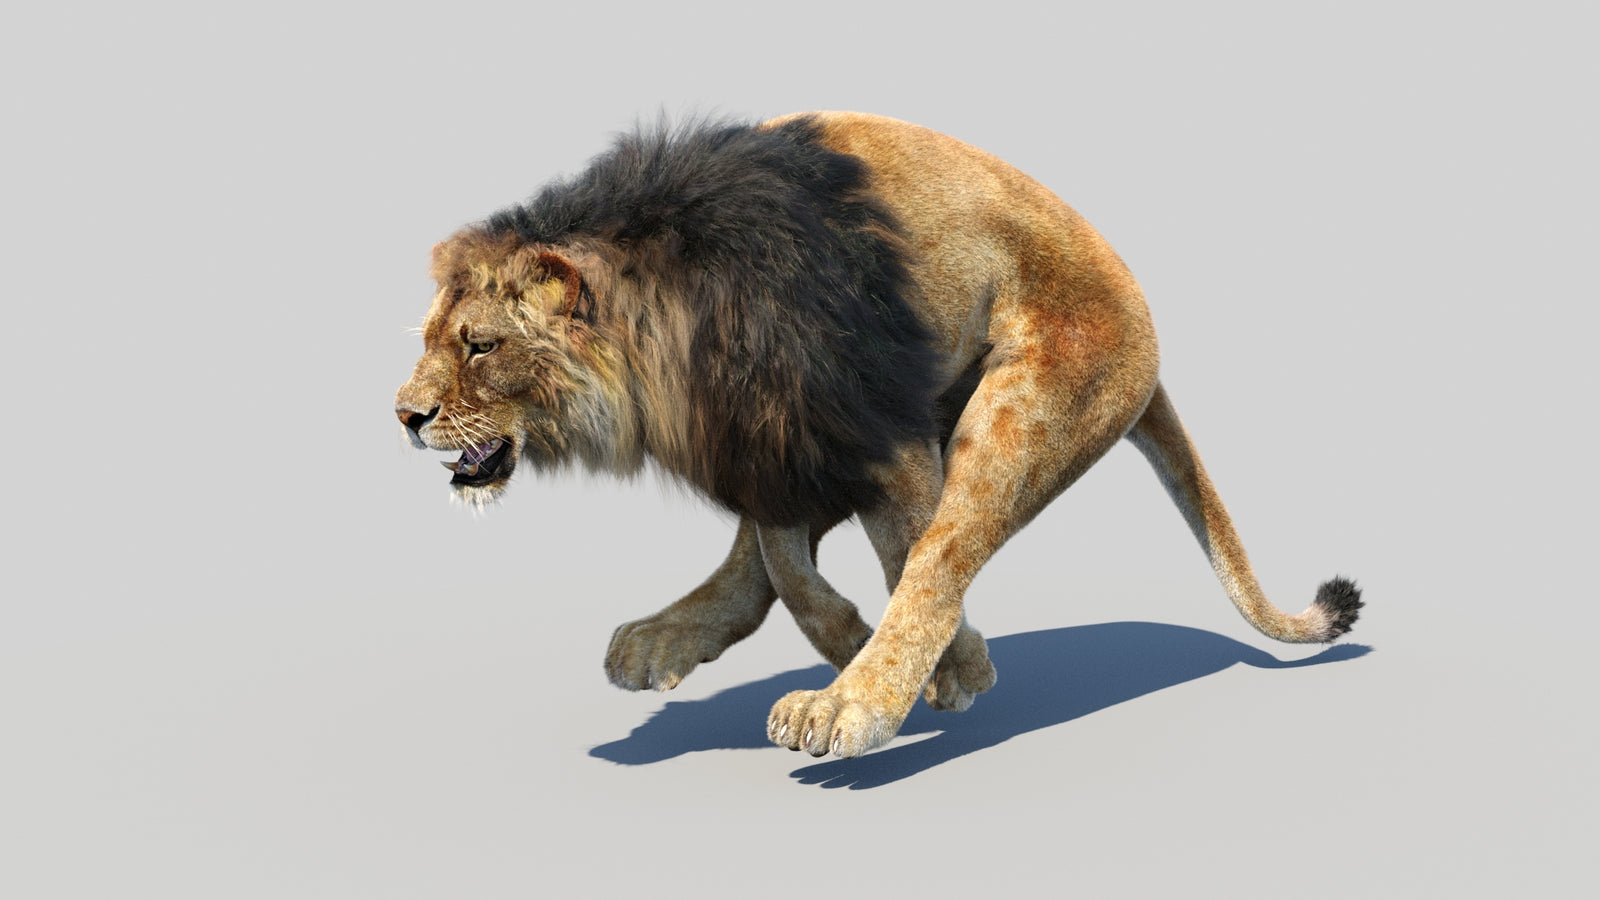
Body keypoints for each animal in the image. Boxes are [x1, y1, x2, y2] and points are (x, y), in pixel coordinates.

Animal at [395, 111, 1363, 759]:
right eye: (433, 339)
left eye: (480, 345)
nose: (404, 415)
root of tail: (1142, 312)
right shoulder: (774, 439)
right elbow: (785, 563)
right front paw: (854, 642)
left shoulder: (866, 426)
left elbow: (916, 562)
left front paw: (922, 676)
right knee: (768, 561)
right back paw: (664, 638)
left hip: (1027, 401)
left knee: (948, 541)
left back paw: (854, 694)